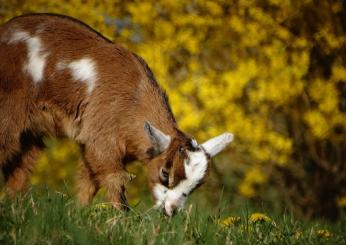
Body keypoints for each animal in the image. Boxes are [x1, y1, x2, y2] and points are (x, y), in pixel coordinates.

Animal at [0, 14, 232, 215]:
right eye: (165, 173)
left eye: (197, 184)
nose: (171, 211)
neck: (134, 99)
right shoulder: (102, 138)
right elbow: (114, 179)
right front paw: (122, 217)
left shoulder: (97, 142)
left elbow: (89, 180)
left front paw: (79, 213)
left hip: (31, 130)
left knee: (21, 165)